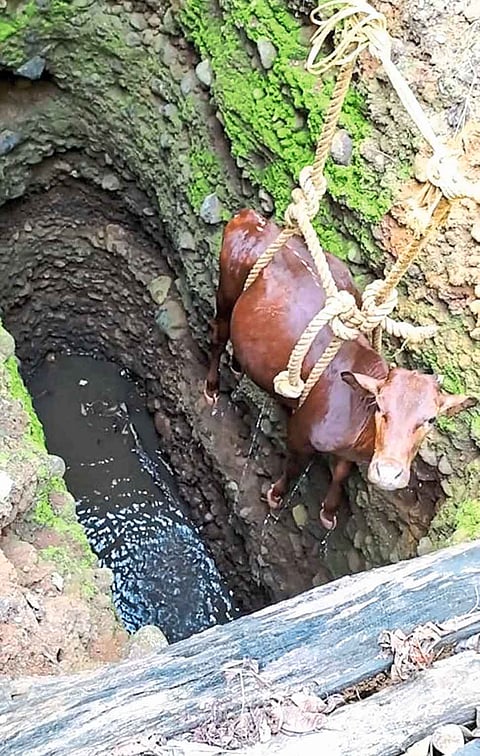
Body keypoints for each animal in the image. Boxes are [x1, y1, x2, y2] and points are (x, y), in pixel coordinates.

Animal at [205, 209, 476, 529]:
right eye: (381, 407)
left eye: (431, 419)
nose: (388, 473)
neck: (357, 423)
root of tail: (256, 219)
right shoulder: (300, 434)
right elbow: (294, 466)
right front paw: (276, 495)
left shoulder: (350, 454)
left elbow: (342, 473)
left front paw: (329, 511)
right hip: (226, 292)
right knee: (219, 337)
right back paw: (212, 387)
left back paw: (239, 368)